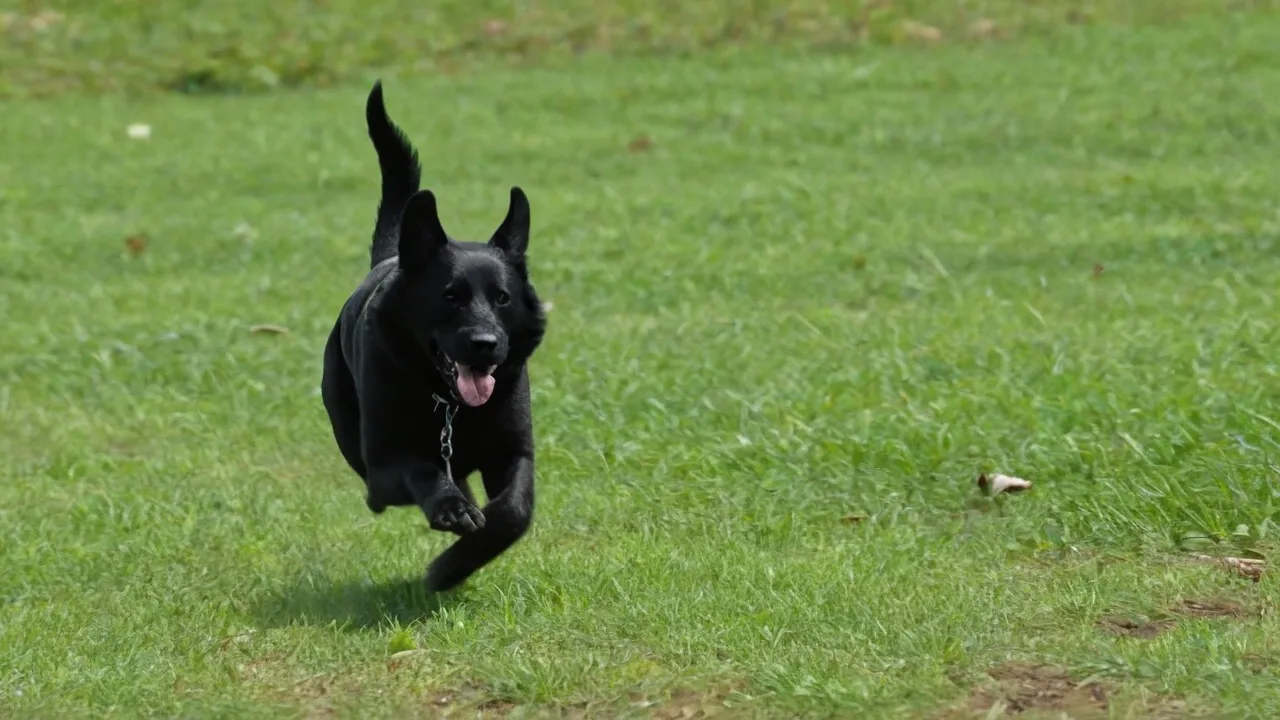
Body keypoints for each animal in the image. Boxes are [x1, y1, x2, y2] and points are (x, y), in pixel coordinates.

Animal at [322, 81, 547, 591]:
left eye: (502, 298)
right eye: (450, 296)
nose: (485, 345)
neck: (451, 405)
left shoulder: (513, 451)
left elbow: (514, 510)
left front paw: (452, 566)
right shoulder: (386, 465)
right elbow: (424, 469)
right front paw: (451, 511)